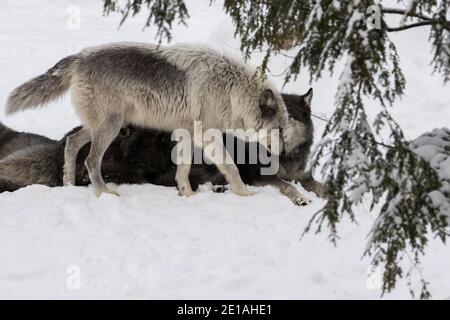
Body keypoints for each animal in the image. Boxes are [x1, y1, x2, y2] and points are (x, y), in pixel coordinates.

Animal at [0, 90, 326, 205]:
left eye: (291, 118)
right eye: (277, 120)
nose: (276, 141)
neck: (286, 158)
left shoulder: (305, 175)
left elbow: (321, 185)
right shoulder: (261, 177)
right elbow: (286, 185)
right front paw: (300, 199)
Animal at [5, 42, 288, 198]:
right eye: (279, 129)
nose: (284, 153)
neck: (231, 90)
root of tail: (80, 57)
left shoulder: (187, 133)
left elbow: (183, 169)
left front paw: (188, 194)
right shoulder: (206, 135)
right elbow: (231, 167)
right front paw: (245, 193)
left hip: (102, 127)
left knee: (72, 143)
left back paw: (69, 184)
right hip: (110, 128)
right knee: (90, 160)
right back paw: (104, 193)